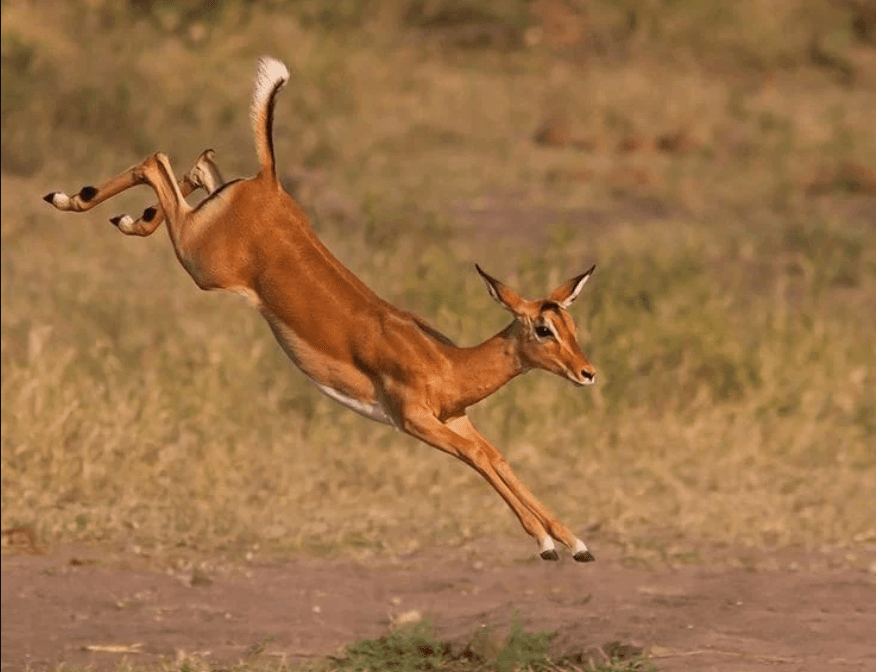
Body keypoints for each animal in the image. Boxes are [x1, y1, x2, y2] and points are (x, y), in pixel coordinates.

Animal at [43, 57, 599, 562]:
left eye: (571, 323)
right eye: (544, 328)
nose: (588, 373)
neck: (448, 364)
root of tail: (269, 184)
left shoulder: (455, 418)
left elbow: (499, 456)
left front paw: (576, 542)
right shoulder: (416, 420)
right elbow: (481, 456)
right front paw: (548, 544)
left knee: (195, 167)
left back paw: (121, 211)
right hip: (201, 264)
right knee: (155, 160)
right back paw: (71, 199)